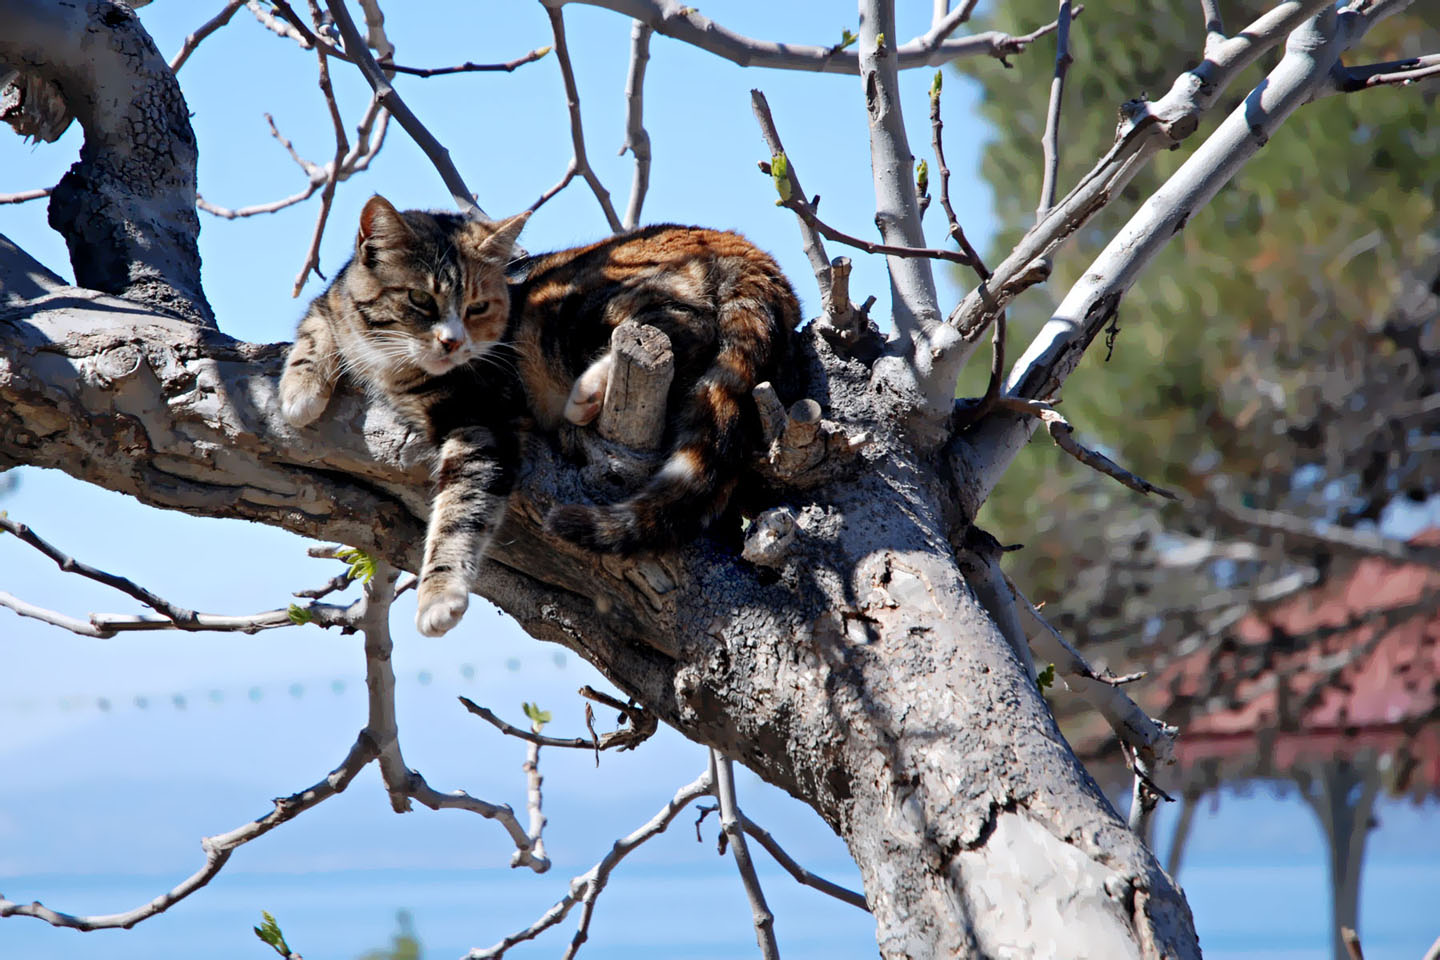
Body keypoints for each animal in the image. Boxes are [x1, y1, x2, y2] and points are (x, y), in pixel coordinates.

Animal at [280, 195, 800, 639]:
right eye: (421, 300)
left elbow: (460, 510)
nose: (452, 342)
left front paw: (439, 597)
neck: (391, 363)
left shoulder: (483, 420)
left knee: (681, 326)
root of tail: (746, 251)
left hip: (581, 306)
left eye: (477, 307)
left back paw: (586, 394)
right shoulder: (332, 304)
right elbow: (313, 327)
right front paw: (299, 393)